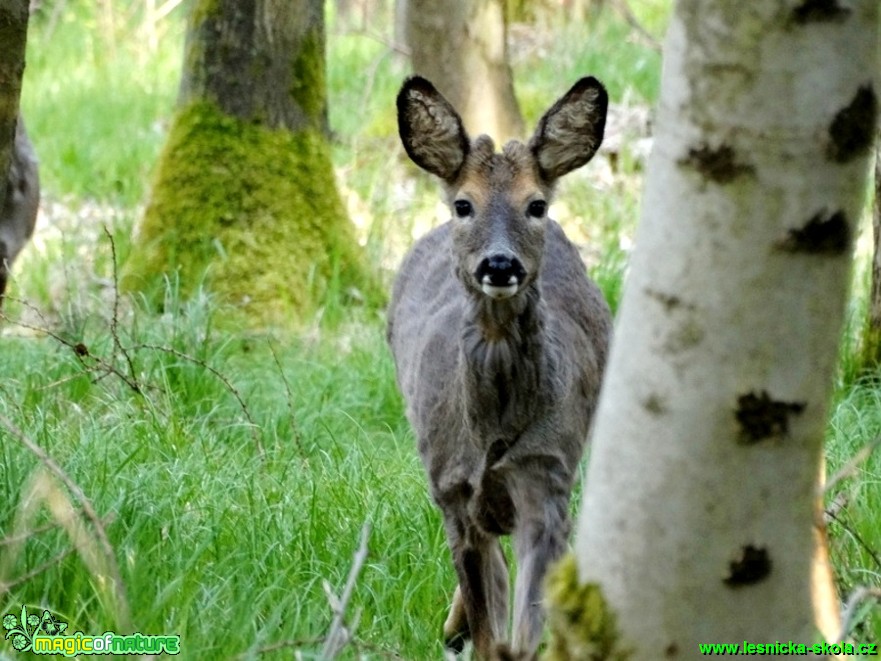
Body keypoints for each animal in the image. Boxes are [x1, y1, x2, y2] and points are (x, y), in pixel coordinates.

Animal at [388, 75, 608, 656]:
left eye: (536, 205)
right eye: (464, 204)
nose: (501, 264)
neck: (491, 431)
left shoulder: (547, 474)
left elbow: (525, 630)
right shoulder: (450, 487)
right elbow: (491, 629)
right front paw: (470, 633)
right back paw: (452, 629)